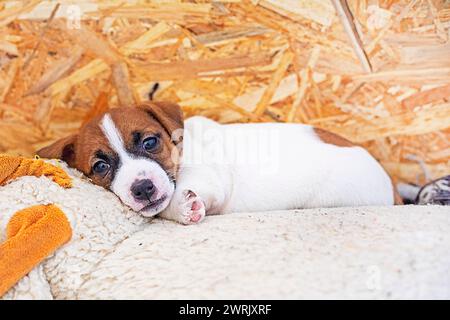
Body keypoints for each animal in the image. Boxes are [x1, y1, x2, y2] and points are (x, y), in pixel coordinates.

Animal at [37, 101, 400, 224]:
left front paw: (184, 207)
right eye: (100, 166)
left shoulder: (206, 177)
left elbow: (178, 196)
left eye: (150, 142)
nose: (142, 188)